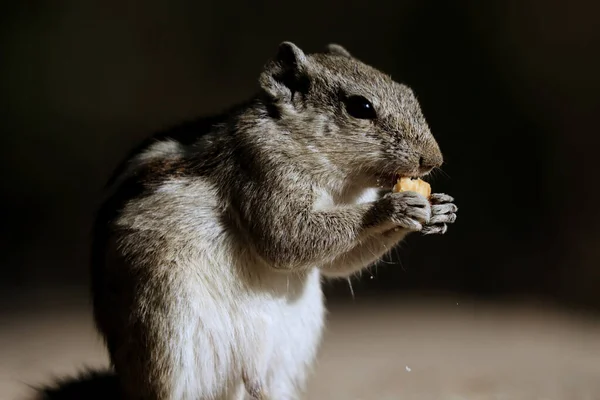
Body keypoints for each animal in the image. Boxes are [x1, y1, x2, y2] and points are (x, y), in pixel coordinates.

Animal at [36, 41, 454, 400]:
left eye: (407, 91)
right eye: (361, 107)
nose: (434, 159)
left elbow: (338, 263)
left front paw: (438, 209)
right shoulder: (260, 169)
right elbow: (287, 240)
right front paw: (392, 208)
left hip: (286, 349)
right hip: (168, 337)